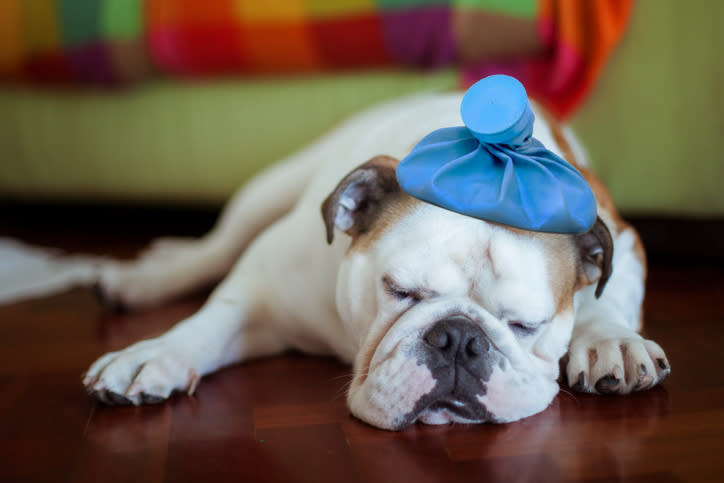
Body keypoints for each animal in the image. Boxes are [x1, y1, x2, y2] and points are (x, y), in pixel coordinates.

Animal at [82, 91, 672, 432]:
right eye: (400, 291)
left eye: (527, 325)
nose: (461, 339)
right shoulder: (264, 289)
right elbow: (210, 321)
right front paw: (154, 354)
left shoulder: (619, 236)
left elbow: (608, 295)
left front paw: (609, 341)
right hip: (271, 185)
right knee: (218, 246)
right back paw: (146, 278)